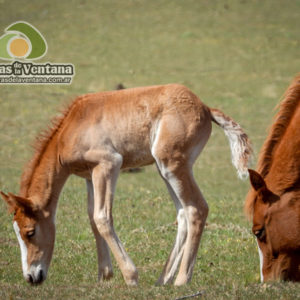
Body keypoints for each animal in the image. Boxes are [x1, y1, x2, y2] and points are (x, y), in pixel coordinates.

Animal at [1, 84, 252, 286]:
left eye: (30, 232)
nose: (31, 277)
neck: (71, 127)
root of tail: (205, 108)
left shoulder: (109, 164)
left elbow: (102, 217)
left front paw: (130, 277)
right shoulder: (89, 176)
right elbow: (92, 218)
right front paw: (104, 276)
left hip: (171, 165)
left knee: (196, 208)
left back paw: (181, 281)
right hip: (164, 169)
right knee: (182, 213)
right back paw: (162, 280)